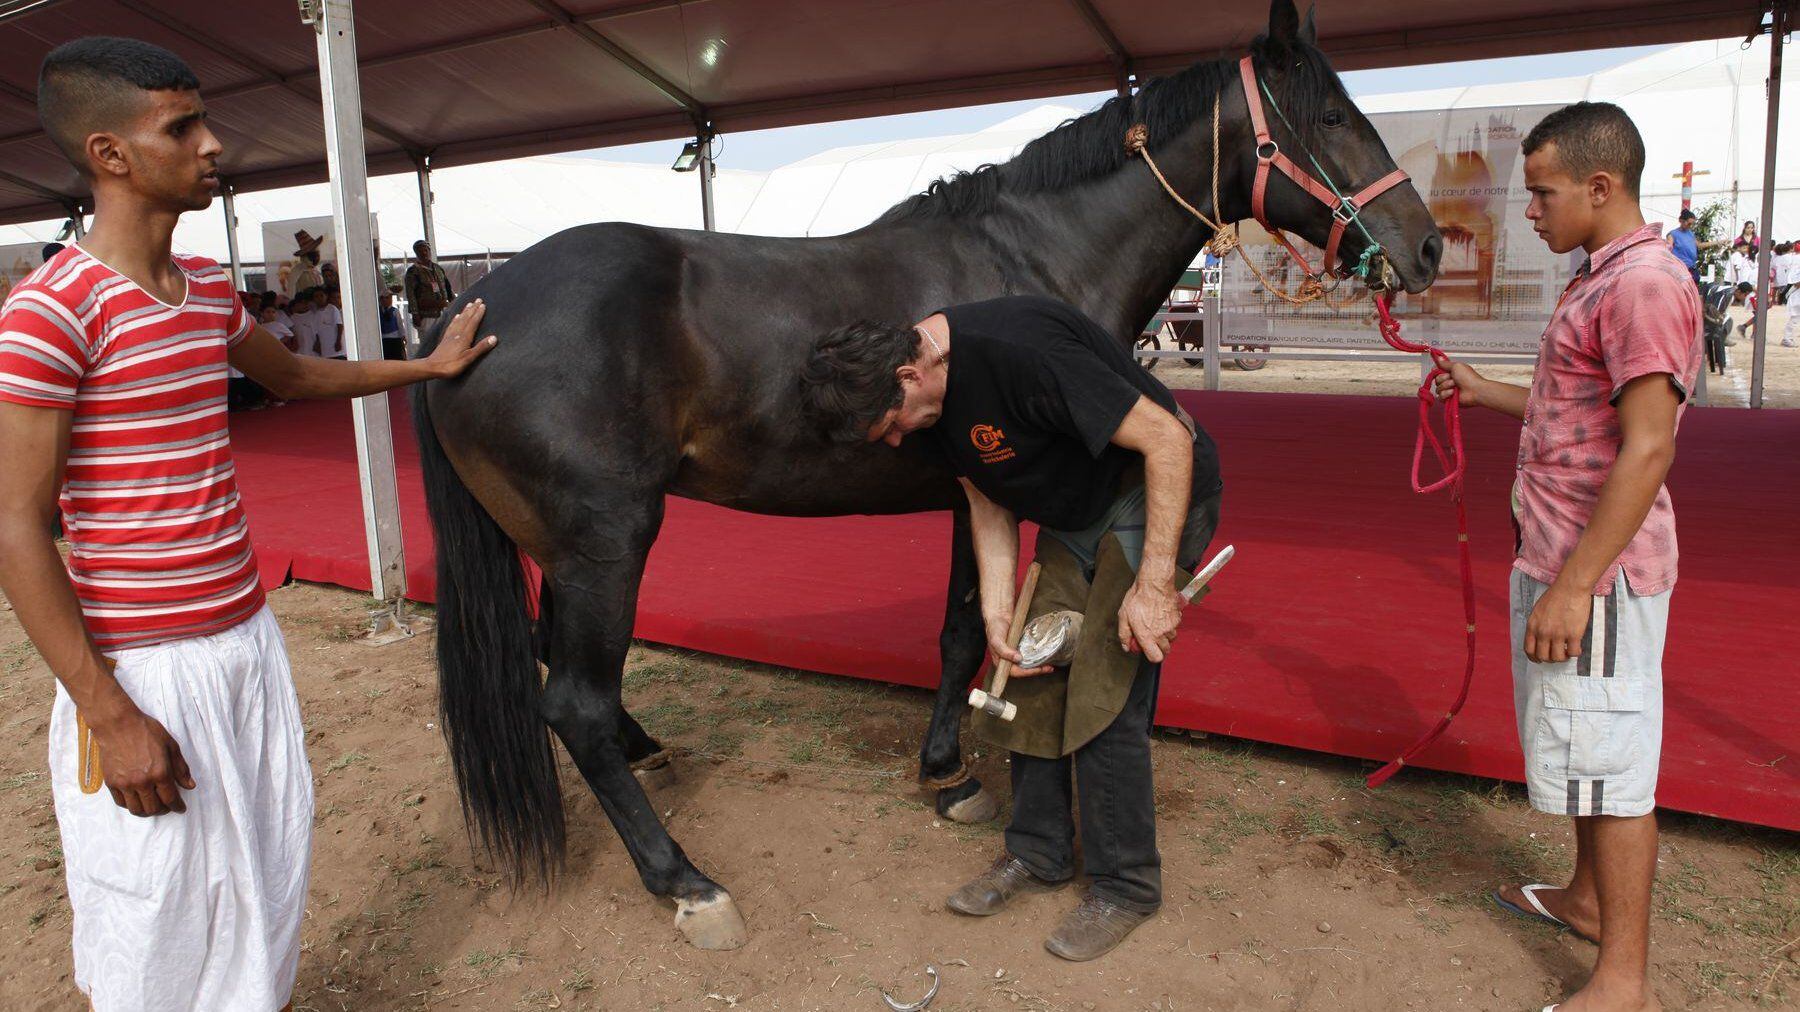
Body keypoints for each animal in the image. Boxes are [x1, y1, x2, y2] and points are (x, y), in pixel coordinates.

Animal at [414, 0, 1440, 943]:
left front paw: (944, 764)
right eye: (1333, 115)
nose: (1427, 246)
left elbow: (965, 629)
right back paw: (686, 881)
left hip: (564, 548)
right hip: (607, 543)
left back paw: (648, 750)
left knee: (558, 665)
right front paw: (950, 771)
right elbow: (964, 632)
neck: (1032, 257)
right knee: (574, 702)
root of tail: (467, 313)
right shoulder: (988, 487)